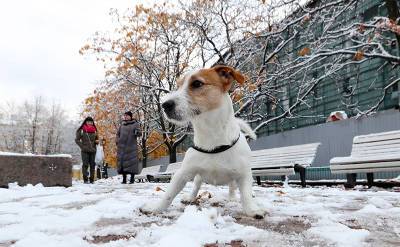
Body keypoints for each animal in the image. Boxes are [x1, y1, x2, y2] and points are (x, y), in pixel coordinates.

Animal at [141, 65, 266, 218]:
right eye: (178, 86)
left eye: (197, 83)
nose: (164, 105)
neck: (211, 136)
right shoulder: (183, 173)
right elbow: (169, 194)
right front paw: (156, 208)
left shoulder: (244, 174)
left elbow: (246, 195)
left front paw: (252, 210)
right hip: (198, 176)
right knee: (196, 186)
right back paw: (190, 198)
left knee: (232, 187)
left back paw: (232, 198)